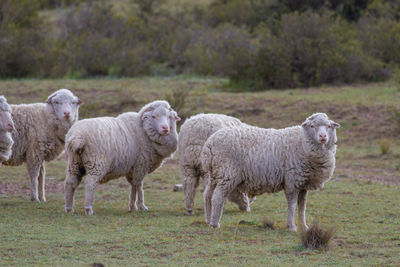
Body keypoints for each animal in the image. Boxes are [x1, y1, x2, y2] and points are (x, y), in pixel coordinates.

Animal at [202, 112, 340, 231]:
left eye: (328, 126)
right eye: (312, 126)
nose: (323, 137)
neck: (302, 142)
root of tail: (210, 144)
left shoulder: (303, 184)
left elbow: (302, 207)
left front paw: (304, 226)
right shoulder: (293, 180)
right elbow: (292, 205)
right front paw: (291, 226)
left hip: (215, 174)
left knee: (208, 195)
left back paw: (208, 219)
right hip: (227, 174)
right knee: (217, 197)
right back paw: (215, 224)